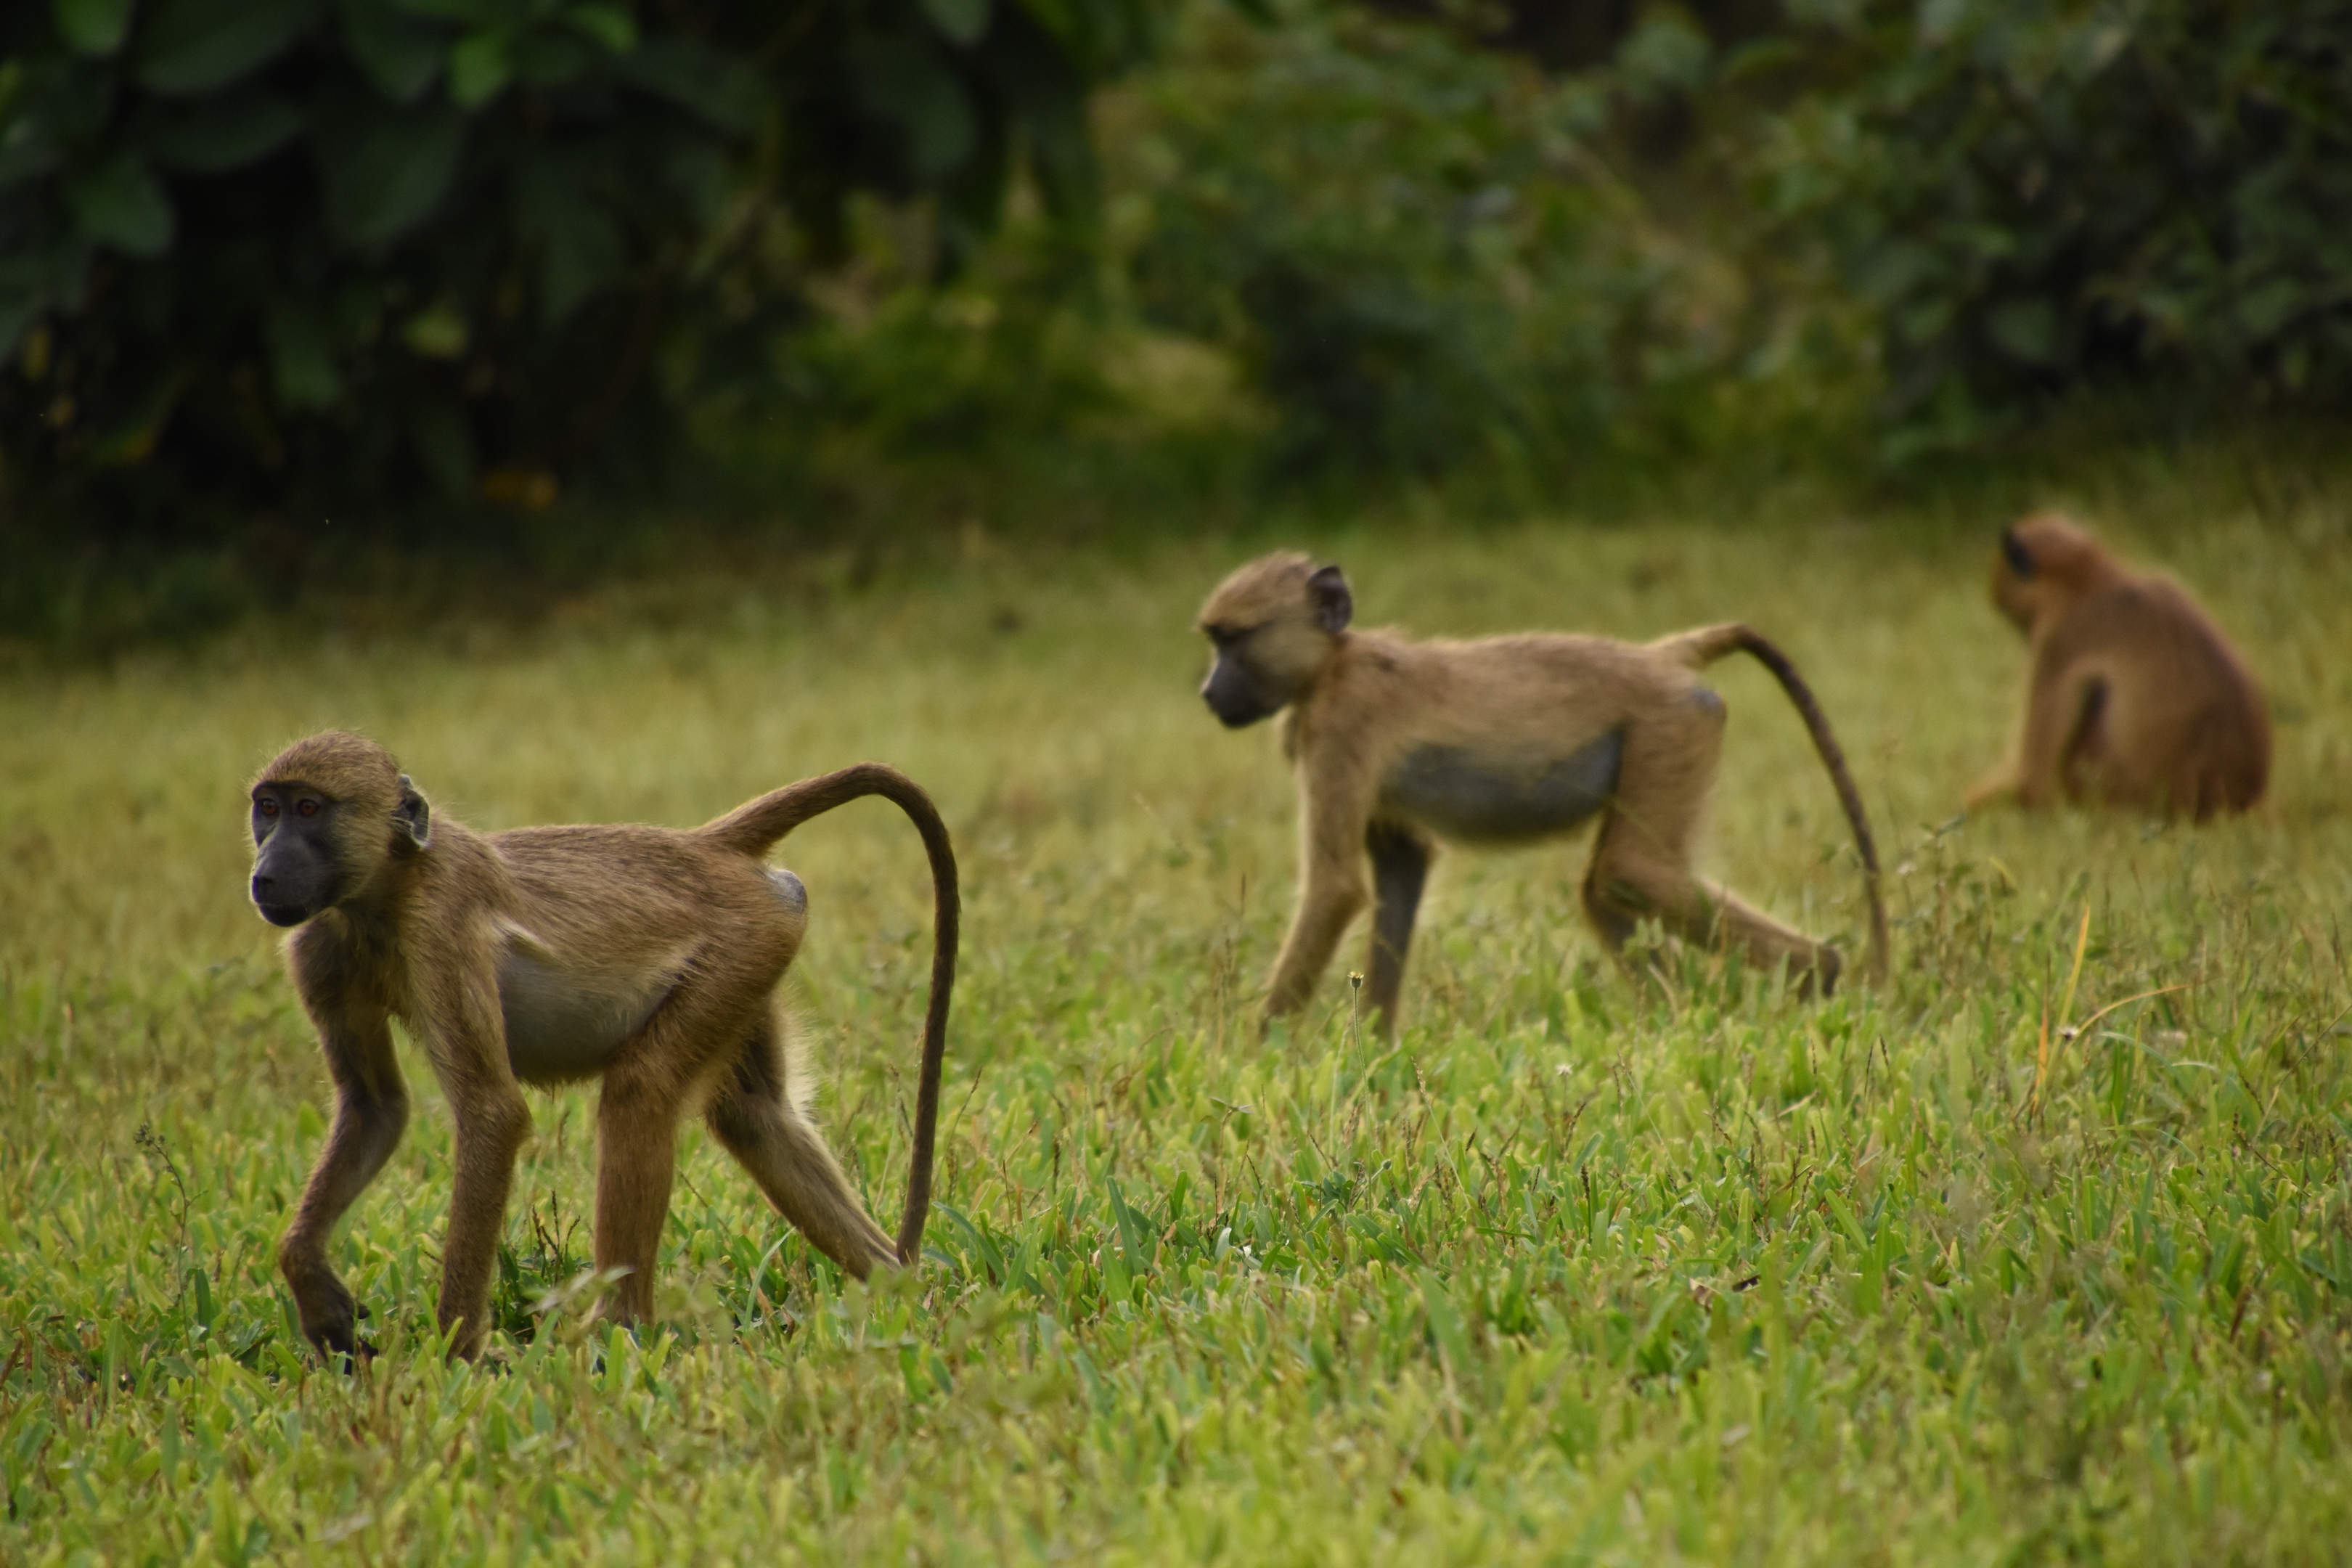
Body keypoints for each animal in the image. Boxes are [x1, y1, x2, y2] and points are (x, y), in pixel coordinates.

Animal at [247, 730, 958, 1362]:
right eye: (268, 810)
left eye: (309, 810)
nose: (265, 874)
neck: (389, 887)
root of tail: (701, 845)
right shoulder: (319, 946)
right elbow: (373, 1108)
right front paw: (312, 1284)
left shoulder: (439, 928)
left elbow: (492, 1114)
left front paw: (453, 1358)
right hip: (762, 946)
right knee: (756, 1116)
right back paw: (898, 1290)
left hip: (742, 940)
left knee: (641, 1090)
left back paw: (618, 1330)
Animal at [1195, 553, 1887, 1036]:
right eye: (1215, 641)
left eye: (1234, 640)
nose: (1207, 693)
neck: (1331, 667)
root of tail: (1658, 657)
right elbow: (1401, 867)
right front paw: (1373, 1050)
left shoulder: (1339, 731)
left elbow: (1336, 888)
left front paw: (1258, 1055)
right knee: (1608, 887)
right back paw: (1677, 1025)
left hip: (1671, 729)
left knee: (1631, 872)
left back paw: (1821, 975)